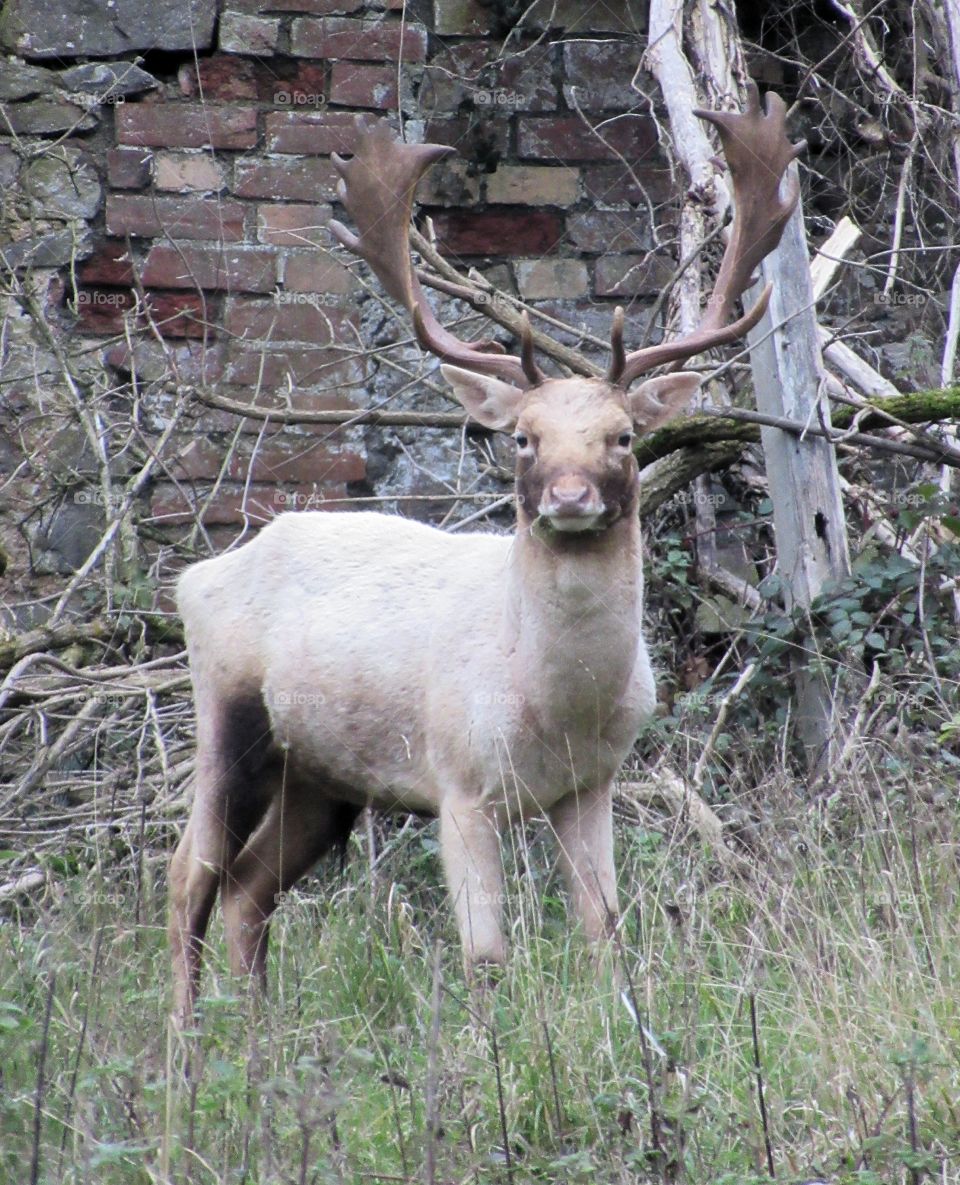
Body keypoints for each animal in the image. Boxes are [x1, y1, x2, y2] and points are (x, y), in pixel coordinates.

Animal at [168, 84, 802, 1021]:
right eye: (524, 438)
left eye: (622, 435)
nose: (570, 498)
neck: (553, 706)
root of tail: (196, 576)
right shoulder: (458, 782)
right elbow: (486, 956)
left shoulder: (593, 781)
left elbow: (605, 933)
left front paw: (625, 1034)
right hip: (228, 707)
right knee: (191, 876)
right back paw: (183, 1041)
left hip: (323, 775)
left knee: (250, 890)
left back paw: (256, 1033)